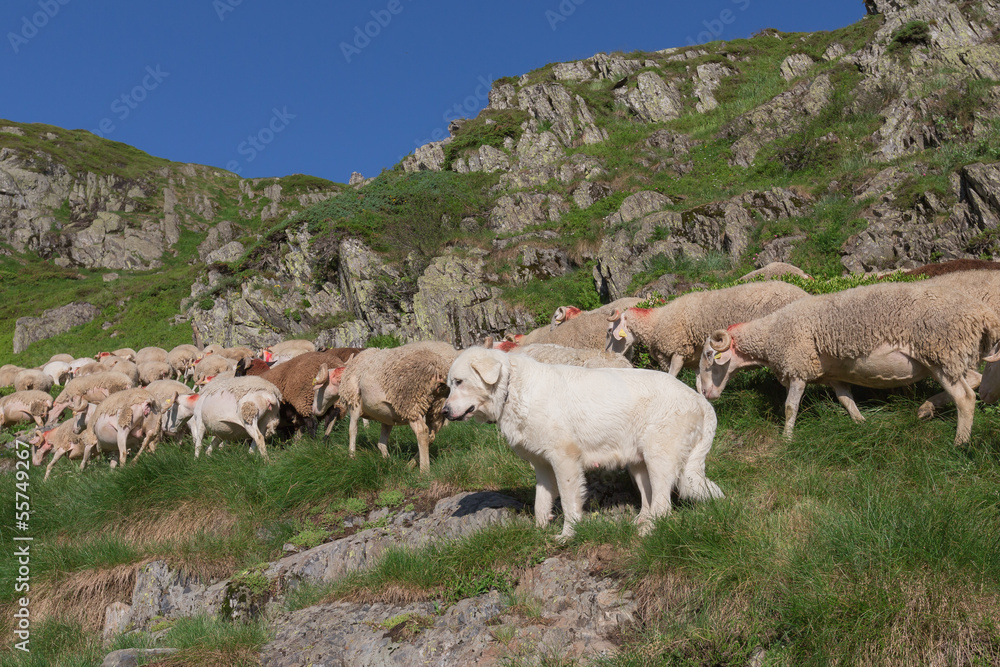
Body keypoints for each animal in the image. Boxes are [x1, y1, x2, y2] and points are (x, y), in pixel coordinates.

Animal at [336, 341, 458, 473]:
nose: (338, 409)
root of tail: (437, 368)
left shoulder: (354, 403)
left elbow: (352, 430)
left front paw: (351, 456)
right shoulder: (387, 416)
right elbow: (382, 442)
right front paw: (388, 461)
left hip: (410, 402)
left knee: (422, 432)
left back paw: (424, 470)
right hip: (438, 406)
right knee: (432, 436)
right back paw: (410, 465)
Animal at [606, 281, 809, 378]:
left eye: (609, 330)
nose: (607, 355)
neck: (657, 321)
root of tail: (804, 293)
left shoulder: (679, 349)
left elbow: (672, 375)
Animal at [698, 282, 1000, 446]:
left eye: (709, 357)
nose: (707, 394)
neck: (770, 333)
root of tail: (983, 313)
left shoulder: (798, 368)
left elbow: (789, 407)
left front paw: (786, 439)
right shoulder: (832, 375)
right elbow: (846, 400)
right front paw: (861, 423)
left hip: (940, 350)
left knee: (965, 397)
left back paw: (960, 442)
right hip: (951, 355)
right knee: (973, 380)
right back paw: (927, 409)